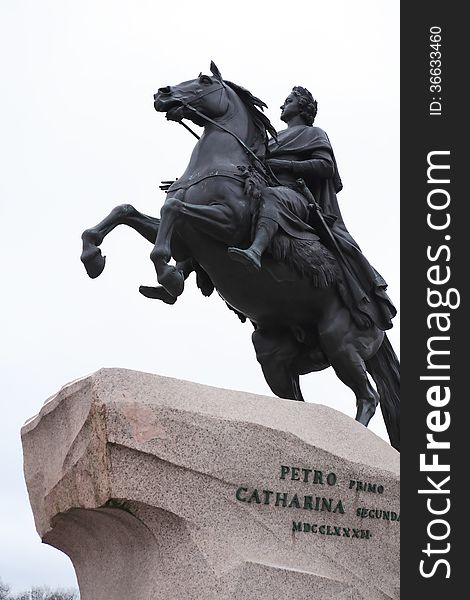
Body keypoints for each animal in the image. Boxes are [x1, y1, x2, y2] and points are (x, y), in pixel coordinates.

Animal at [81, 64, 400, 450]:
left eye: (204, 80)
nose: (162, 93)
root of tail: (381, 323)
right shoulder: (185, 241)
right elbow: (126, 211)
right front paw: (93, 256)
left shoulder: (226, 223)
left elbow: (171, 212)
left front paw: (169, 276)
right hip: (276, 356)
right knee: (298, 399)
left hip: (341, 345)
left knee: (368, 396)